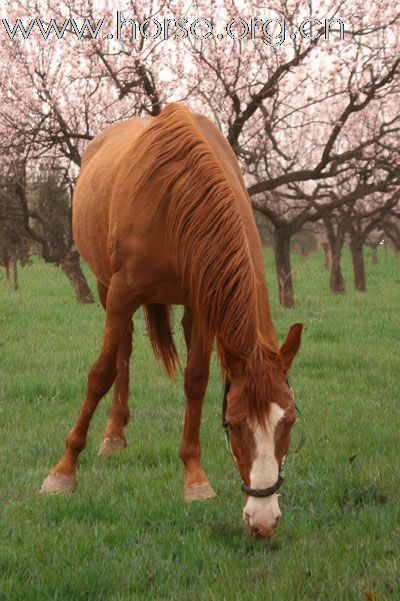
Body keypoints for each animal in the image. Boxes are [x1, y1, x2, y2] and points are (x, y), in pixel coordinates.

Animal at [41, 103, 304, 540]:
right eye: (233, 424)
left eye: (290, 421)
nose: (264, 521)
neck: (177, 198)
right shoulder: (121, 292)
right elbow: (100, 374)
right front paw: (63, 472)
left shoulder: (204, 299)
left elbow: (196, 379)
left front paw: (195, 479)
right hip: (105, 287)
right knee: (123, 350)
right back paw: (113, 435)